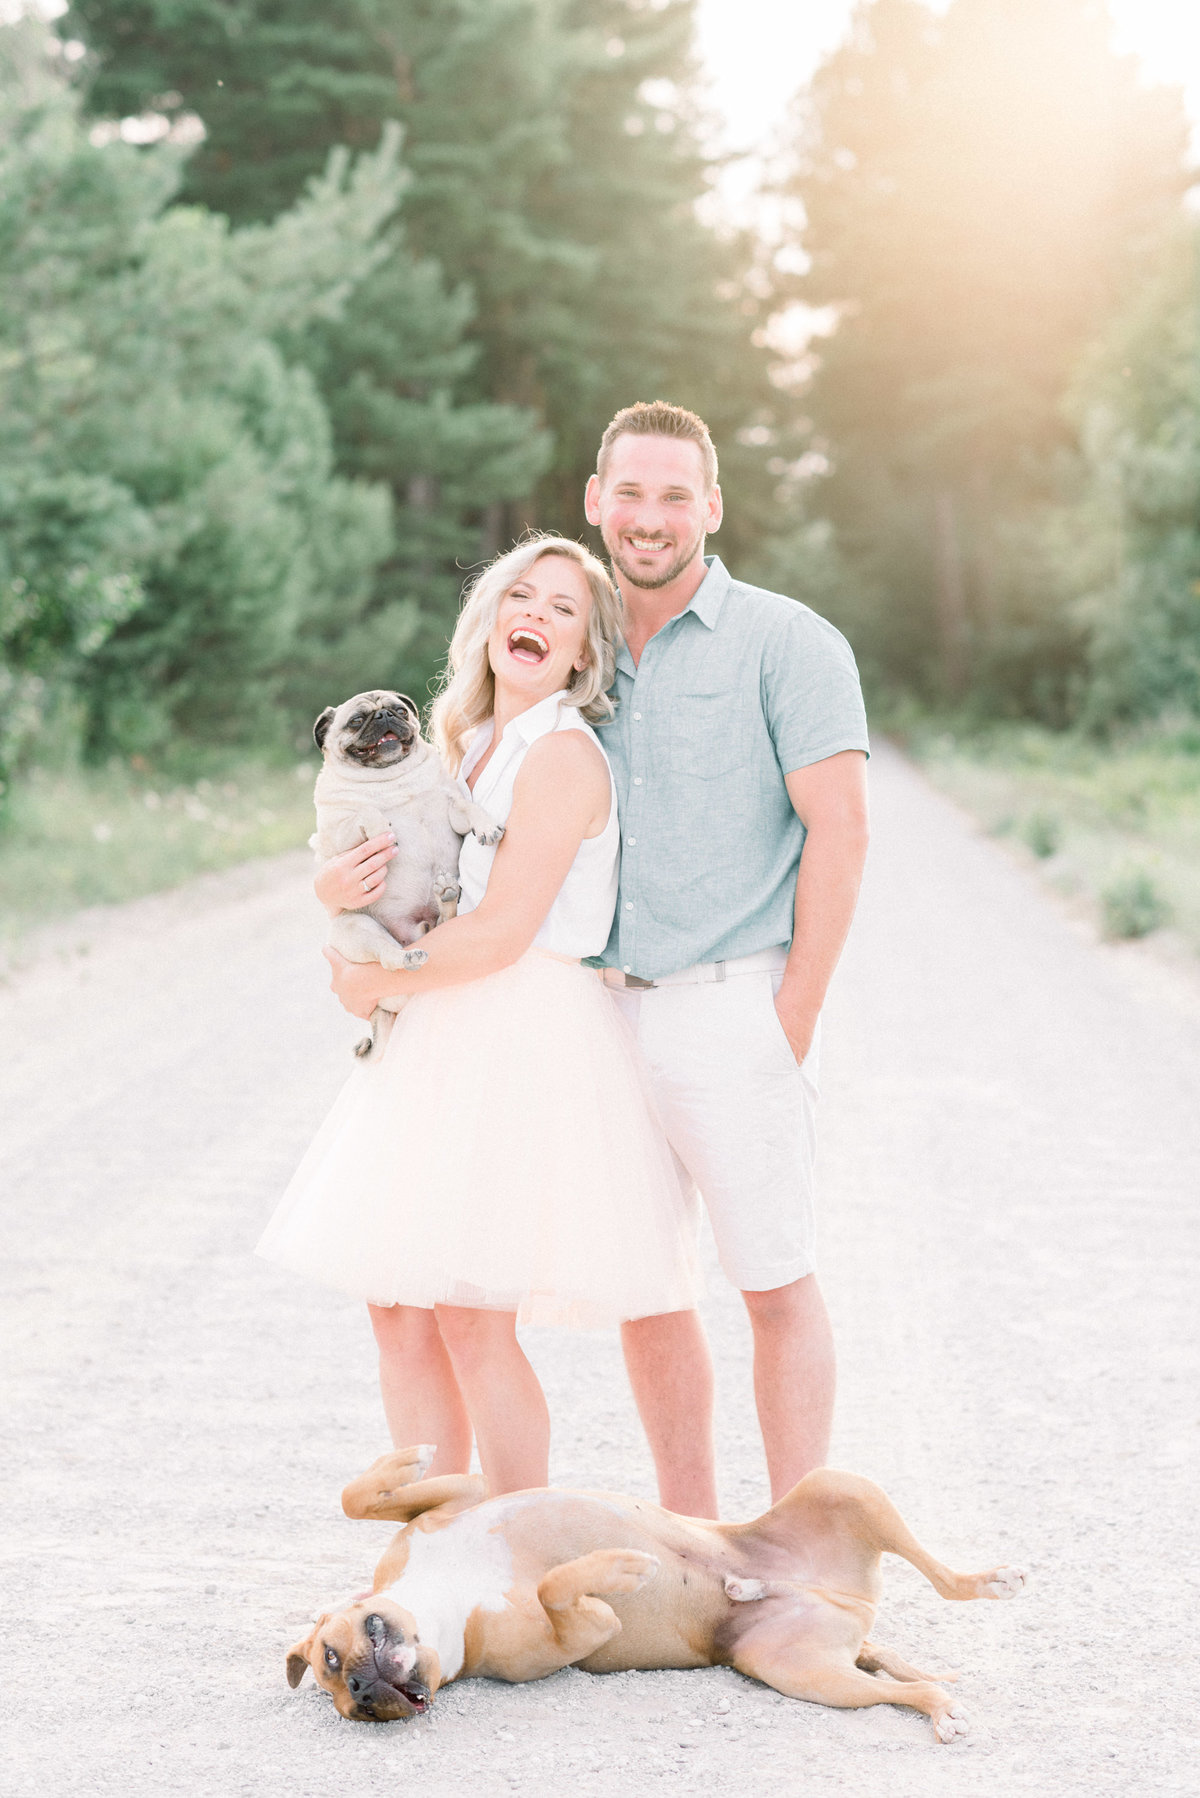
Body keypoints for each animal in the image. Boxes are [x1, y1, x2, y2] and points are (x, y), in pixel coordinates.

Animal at [284, 1445, 1021, 1740]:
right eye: (355, 1706)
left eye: (331, 1656)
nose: (366, 1686)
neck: (442, 1608)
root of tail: (847, 1605)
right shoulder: (582, 1630)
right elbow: (555, 1587)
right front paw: (617, 1566)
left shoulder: (464, 1497)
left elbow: (359, 1496)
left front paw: (403, 1460)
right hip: (809, 1675)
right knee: (902, 1685)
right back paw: (940, 1707)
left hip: (841, 1486)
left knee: (943, 1583)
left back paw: (990, 1580)